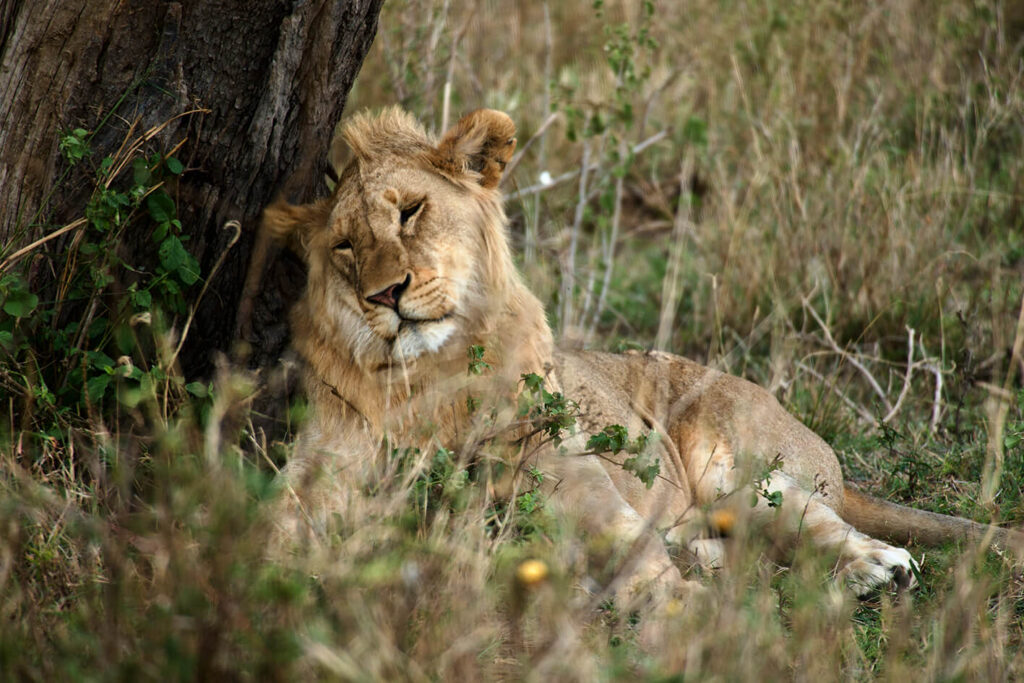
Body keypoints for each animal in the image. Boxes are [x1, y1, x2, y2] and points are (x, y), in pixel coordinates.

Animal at [262, 106, 1021, 608]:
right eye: (345, 246)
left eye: (412, 210)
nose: (384, 295)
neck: (436, 381)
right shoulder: (321, 475)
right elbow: (279, 539)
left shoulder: (564, 466)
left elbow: (623, 542)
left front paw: (677, 612)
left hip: (736, 465)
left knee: (816, 520)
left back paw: (875, 567)